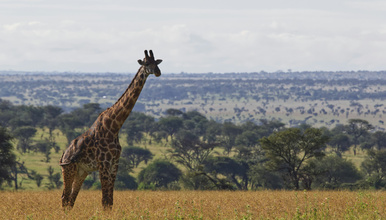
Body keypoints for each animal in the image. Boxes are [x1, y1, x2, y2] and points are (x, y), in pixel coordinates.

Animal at [59, 49, 162, 210]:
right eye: (146, 63)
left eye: (156, 62)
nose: (158, 72)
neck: (114, 127)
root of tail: (64, 154)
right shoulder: (104, 163)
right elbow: (104, 200)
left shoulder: (115, 164)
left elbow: (110, 201)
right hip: (68, 169)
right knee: (64, 197)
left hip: (82, 172)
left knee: (71, 199)